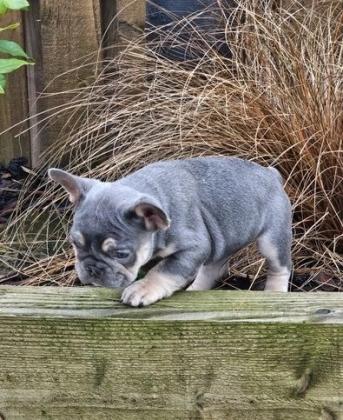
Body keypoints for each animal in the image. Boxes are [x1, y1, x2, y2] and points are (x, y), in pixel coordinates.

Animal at [49, 157, 292, 306]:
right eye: (75, 244)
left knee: (280, 267)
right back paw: (196, 289)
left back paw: (275, 294)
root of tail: (271, 174)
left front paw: (143, 288)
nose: (92, 269)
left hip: (272, 239)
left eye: (121, 254)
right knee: (214, 266)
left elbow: (164, 270)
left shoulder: (192, 248)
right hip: (222, 239)